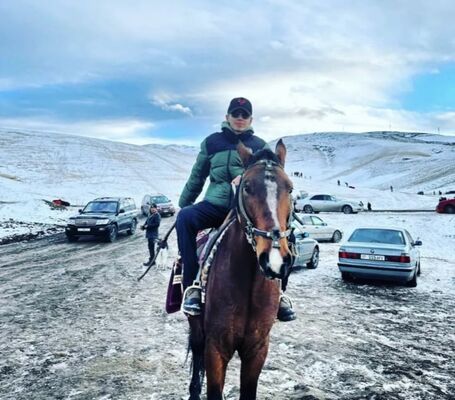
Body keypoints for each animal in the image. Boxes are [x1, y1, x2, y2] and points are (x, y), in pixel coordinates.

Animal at [187, 139, 294, 400]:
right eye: (246, 187)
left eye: (290, 189)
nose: (274, 259)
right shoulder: (216, 348)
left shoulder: (257, 349)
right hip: (197, 330)